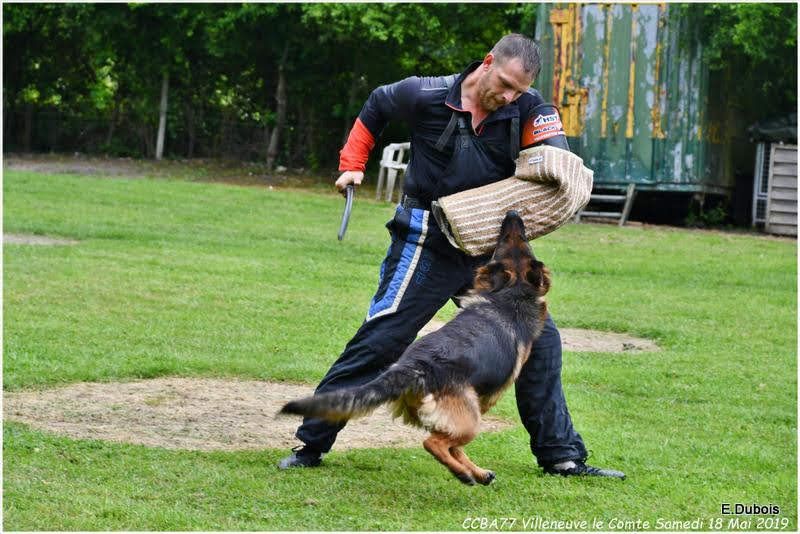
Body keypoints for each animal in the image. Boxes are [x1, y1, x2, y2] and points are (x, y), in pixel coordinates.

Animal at [280, 211, 552, 488]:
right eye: (512, 239)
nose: (512, 214)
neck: (510, 294)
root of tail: (417, 366)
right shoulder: (487, 398)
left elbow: (457, 448)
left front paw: (479, 471)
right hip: (471, 420)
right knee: (433, 443)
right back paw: (463, 474)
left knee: (446, 444)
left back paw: (474, 472)